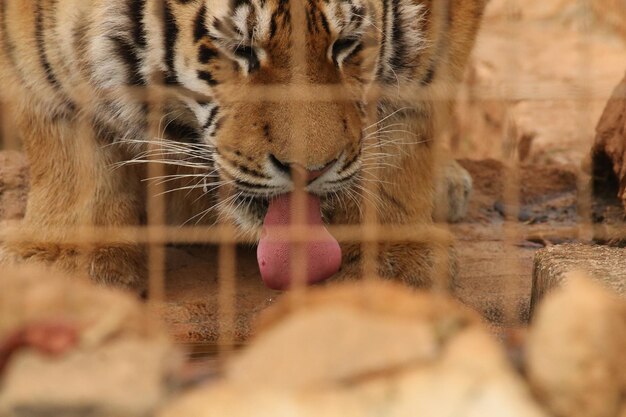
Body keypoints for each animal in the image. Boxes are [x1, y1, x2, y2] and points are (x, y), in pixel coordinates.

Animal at [0, 0, 482, 292]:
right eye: (241, 49)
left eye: (345, 45)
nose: (310, 171)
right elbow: (63, 134)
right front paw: (65, 260)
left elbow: (407, 129)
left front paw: (393, 255)